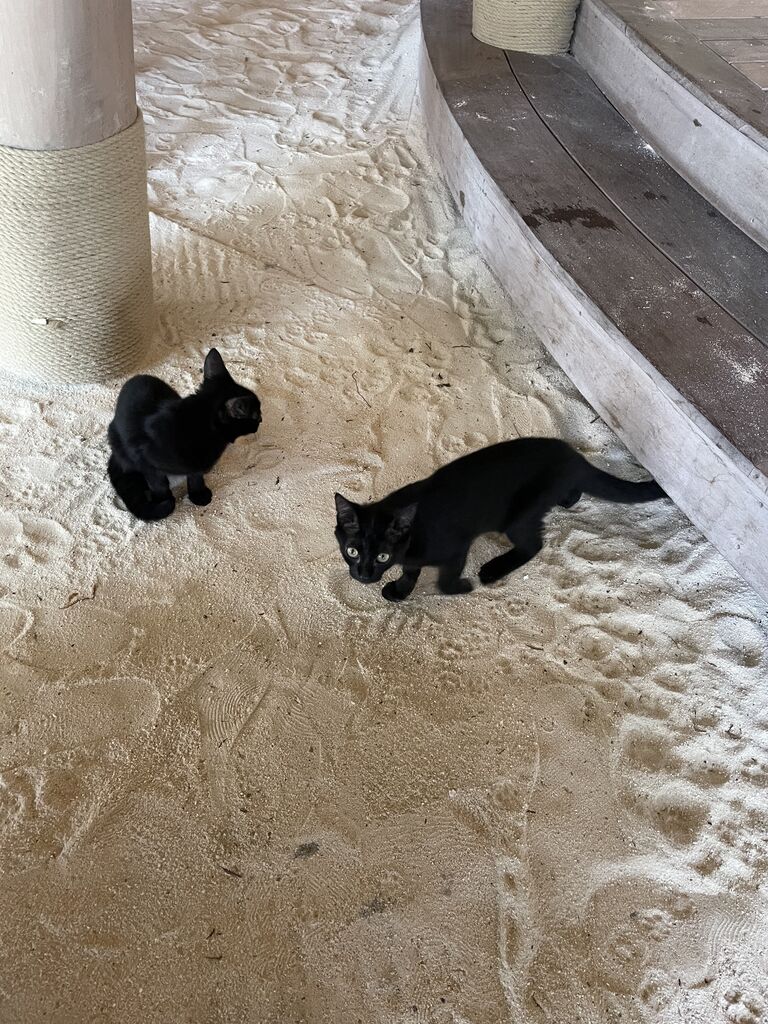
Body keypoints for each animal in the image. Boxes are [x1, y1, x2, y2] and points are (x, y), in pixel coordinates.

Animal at [107, 348, 261, 521]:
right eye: (256, 416)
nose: (261, 419)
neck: (197, 428)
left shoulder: (196, 466)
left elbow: (195, 476)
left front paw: (198, 494)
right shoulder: (145, 461)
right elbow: (158, 484)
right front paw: (164, 501)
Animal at [334, 437, 665, 601]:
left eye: (381, 556)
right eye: (352, 551)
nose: (363, 574)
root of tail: (575, 457)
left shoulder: (456, 548)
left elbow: (443, 579)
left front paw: (461, 587)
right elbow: (410, 571)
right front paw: (401, 591)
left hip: (517, 519)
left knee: (534, 545)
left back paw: (492, 570)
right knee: (573, 495)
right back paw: (568, 498)